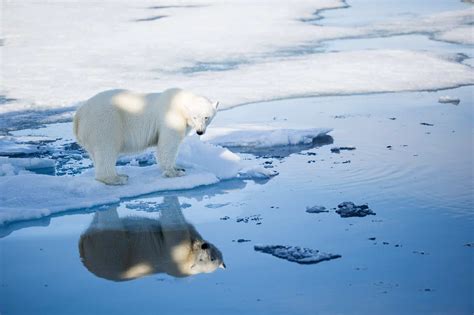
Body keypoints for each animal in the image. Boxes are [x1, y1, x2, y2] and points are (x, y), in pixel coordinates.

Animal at [73, 88, 219, 185]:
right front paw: (174, 172)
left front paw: (179, 167)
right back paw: (117, 178)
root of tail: (78, 115)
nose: (200, 131)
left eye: (206, 117)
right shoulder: (170, 118)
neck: (179, 103)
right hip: (104, 122)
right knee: (106, 148)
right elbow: (168, 144)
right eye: (195, 117)